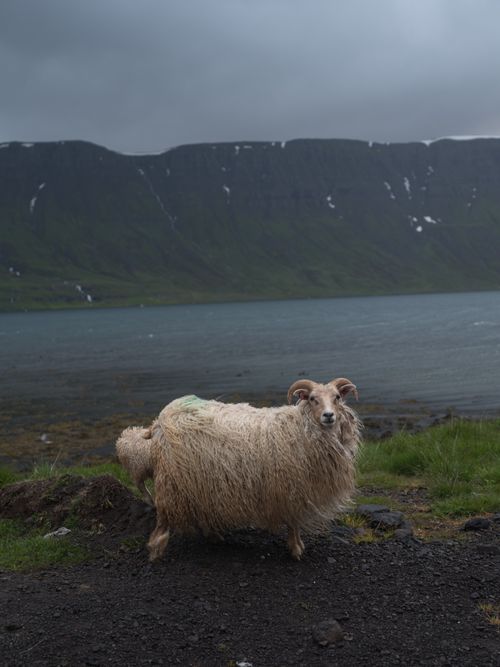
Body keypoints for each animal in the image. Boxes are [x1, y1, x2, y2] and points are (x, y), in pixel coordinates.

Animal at [145, 378, 361, 561]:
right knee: (162, 515)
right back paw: (156, 550)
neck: (301, 427)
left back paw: (214, 535)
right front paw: (296, 549)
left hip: (199, 481)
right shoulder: (290, 487)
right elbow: (293, 521)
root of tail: (161, 419)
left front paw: (297, 546)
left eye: (337, 397)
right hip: (171, 480)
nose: (329, 415)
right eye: (312, 399)